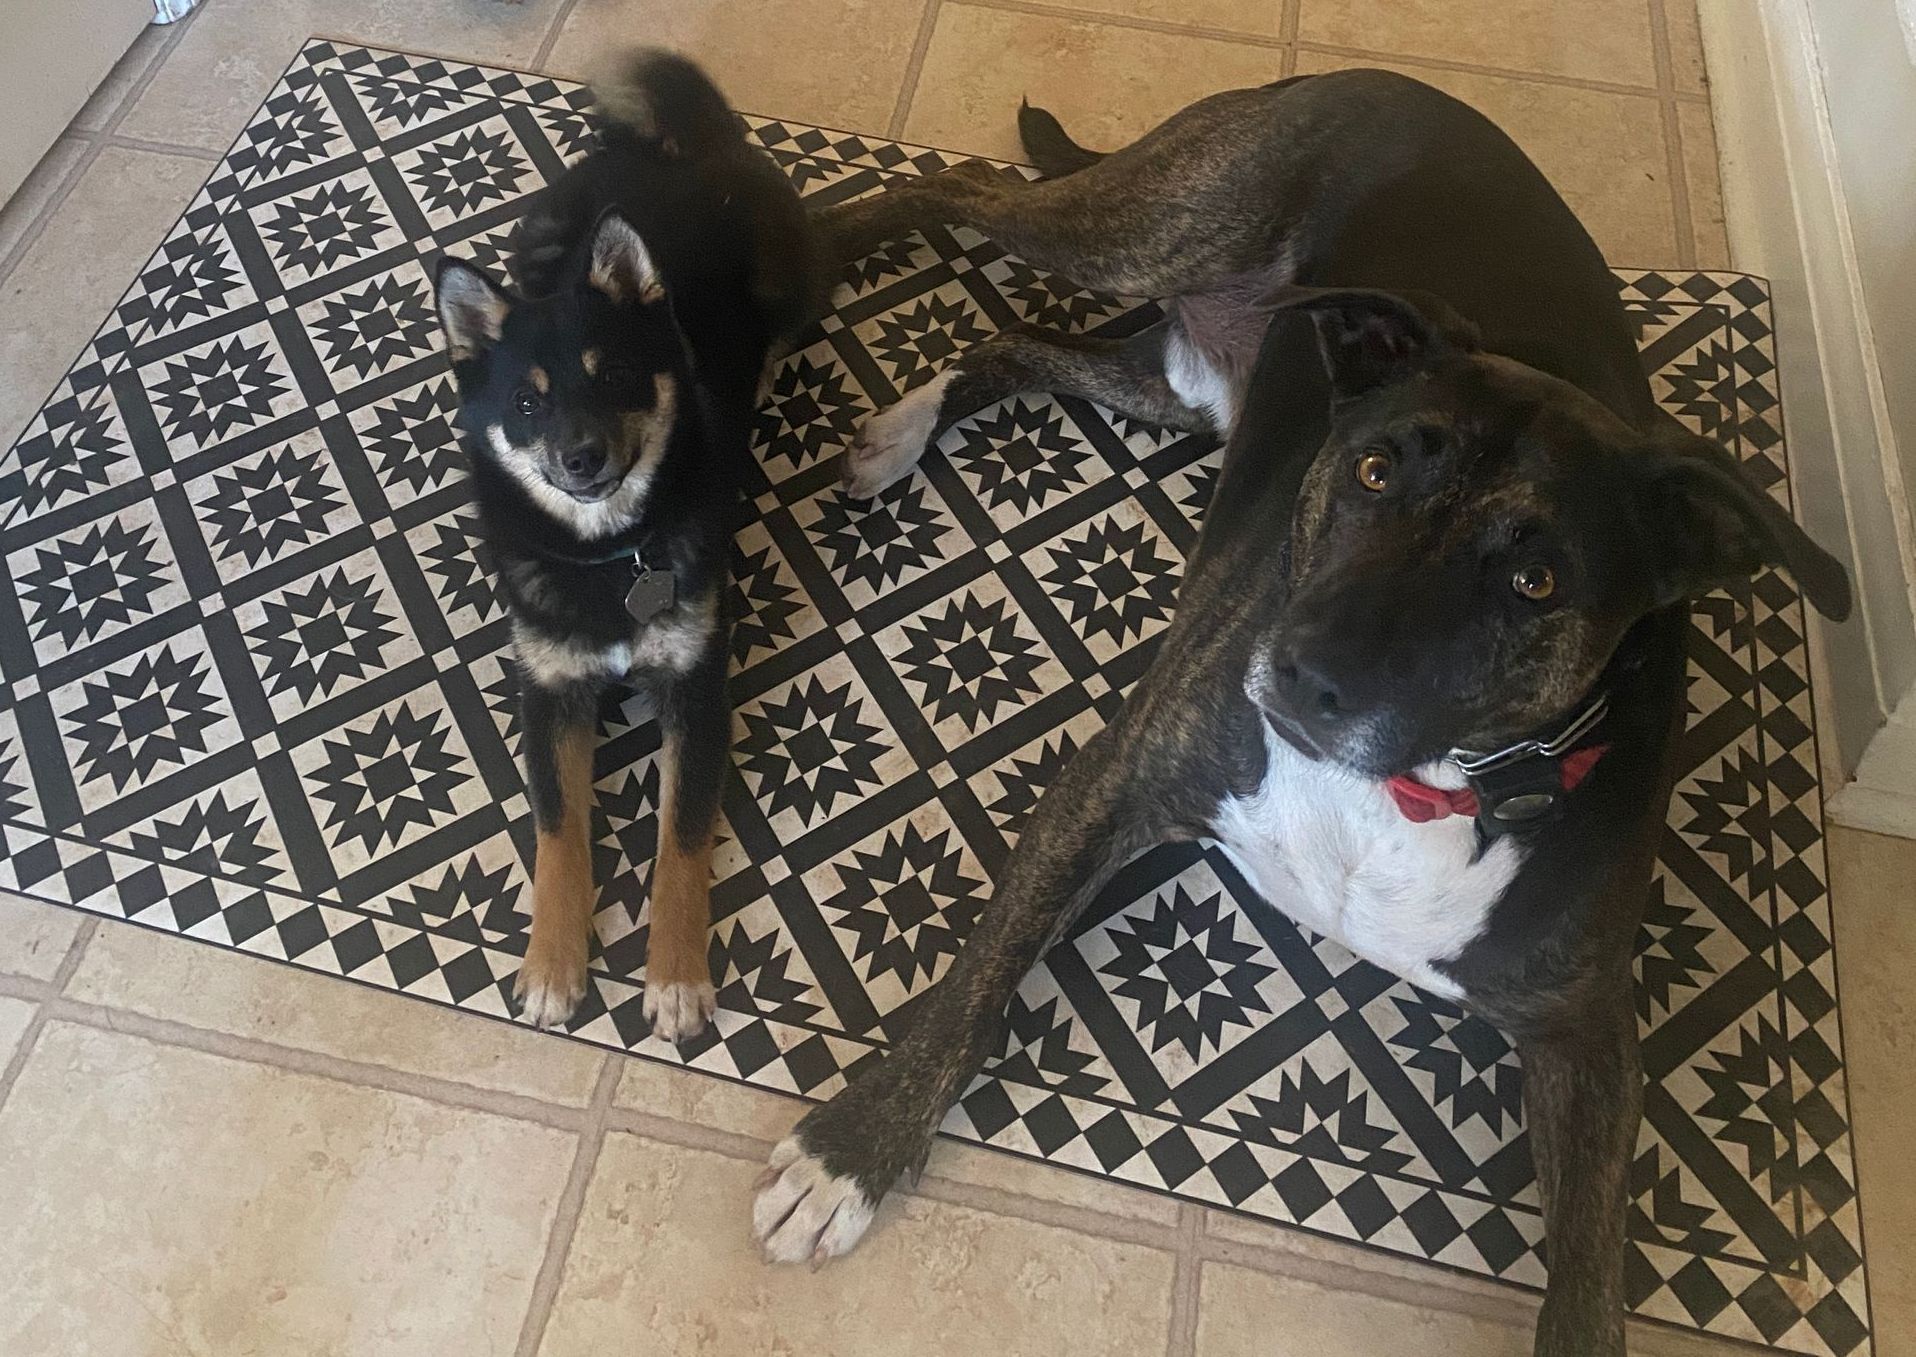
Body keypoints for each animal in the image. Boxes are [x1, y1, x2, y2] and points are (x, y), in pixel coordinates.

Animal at [434, 50, 823, 1042]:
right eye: (525, 403)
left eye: (611, 377)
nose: (581, 456)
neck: (613, 559)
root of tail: (687, 153)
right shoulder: (549, 694)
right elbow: (557, 832)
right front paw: (550, 965)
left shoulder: (697, 690)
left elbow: (679, 842)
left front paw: (677, 977)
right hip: (538, 239)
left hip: (790, 279)